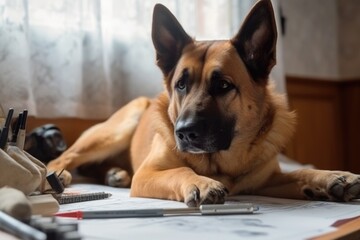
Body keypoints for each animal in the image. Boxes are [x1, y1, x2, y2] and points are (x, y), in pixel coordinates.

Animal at [46, 0, 358, 206]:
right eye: (181, 85)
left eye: (223, 86)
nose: (183, 132)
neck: (221, 163)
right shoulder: (147, 174)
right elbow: (180, 169)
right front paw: (199, 181)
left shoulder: (267, 178)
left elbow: (300, 171)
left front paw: (332, 178)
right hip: (116, 129)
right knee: (62, 158)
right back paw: (60, 175)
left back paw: (114, 174)